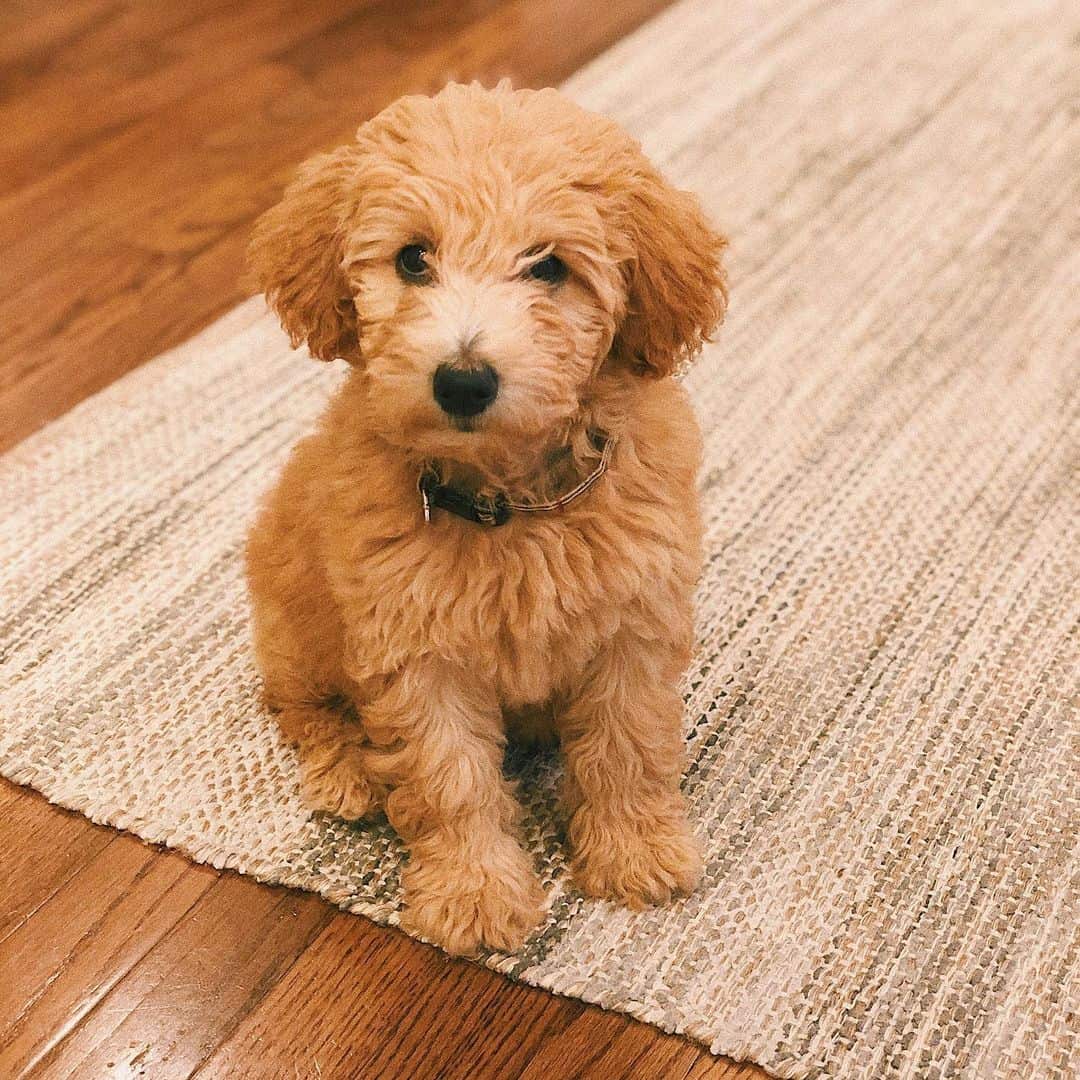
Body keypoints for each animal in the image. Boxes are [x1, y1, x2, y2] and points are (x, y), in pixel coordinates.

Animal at [247, 79, 725, 954]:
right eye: (413, 258)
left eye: (549, 267)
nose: (463, 381)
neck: (516, 505)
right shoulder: (414, 648)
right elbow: (449, 775)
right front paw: (473, 891)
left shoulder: (634, 622)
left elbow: (628, 742)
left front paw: (634, 851)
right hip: (293, 622)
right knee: (303, 708)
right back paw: (347, 771)